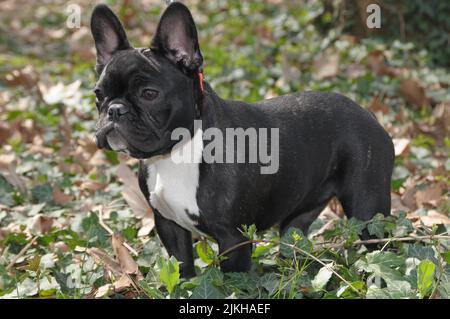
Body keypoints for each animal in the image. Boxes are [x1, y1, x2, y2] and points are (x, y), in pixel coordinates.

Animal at [90, 1, 394, 278]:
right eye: (98, 94)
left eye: (149, 94)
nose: (115, 109)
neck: (178, 152)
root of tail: (370, 115)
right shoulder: (168, 224)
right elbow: (181, 266)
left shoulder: (233, 239)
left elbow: (232, 282)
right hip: (300, 212)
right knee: (294, 235)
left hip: (367, 209)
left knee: (381, 239)